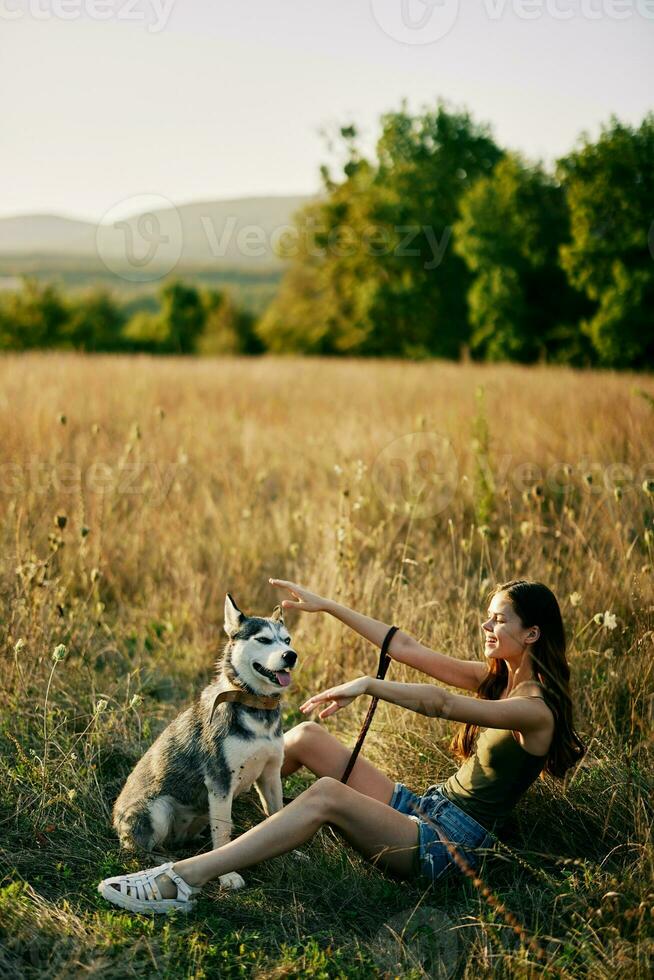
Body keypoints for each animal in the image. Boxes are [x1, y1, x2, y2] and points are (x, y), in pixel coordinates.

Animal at [113, 592, 298, 892]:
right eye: (263, 640)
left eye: (287, 640)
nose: (291, 656)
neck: (254, 704)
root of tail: (114, 819)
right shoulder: (220, 781)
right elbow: (223, 831)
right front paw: (227, 875)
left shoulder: (270, 774)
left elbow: (279, 814)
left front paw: (291, 853)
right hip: (157, 810)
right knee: (138, 849)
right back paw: (163, 859)